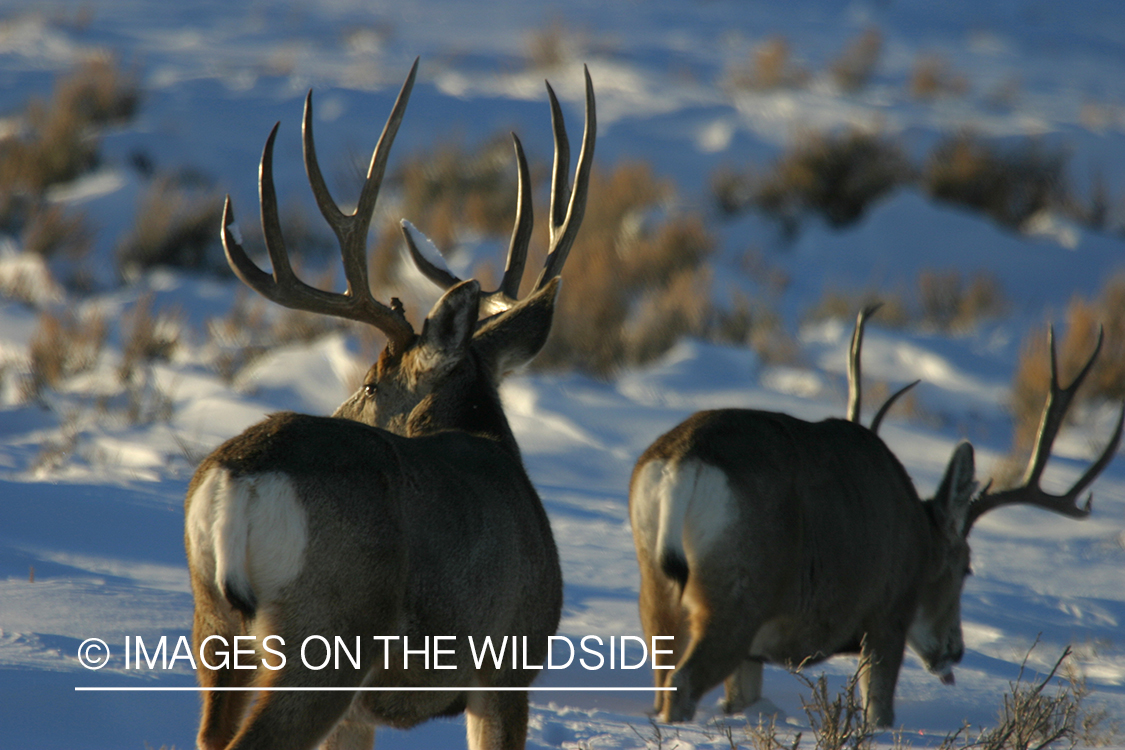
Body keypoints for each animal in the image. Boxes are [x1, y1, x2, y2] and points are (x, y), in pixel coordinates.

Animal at [184, 60, 595, 750]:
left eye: (371, 385)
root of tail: (240, 478)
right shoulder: (507, 670)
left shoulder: (364, 710)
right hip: (328, 628)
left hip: (213, 619)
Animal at [629, 305, 1123, 728]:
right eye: (966, 568)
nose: (956, 650)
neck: (918, 535)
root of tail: (681, 463)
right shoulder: (888, 611)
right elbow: (879, 710)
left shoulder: (760, 650)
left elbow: (744, 699)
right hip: (740, 590)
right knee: (684, 681)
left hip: (656, 582)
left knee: (662, 677)